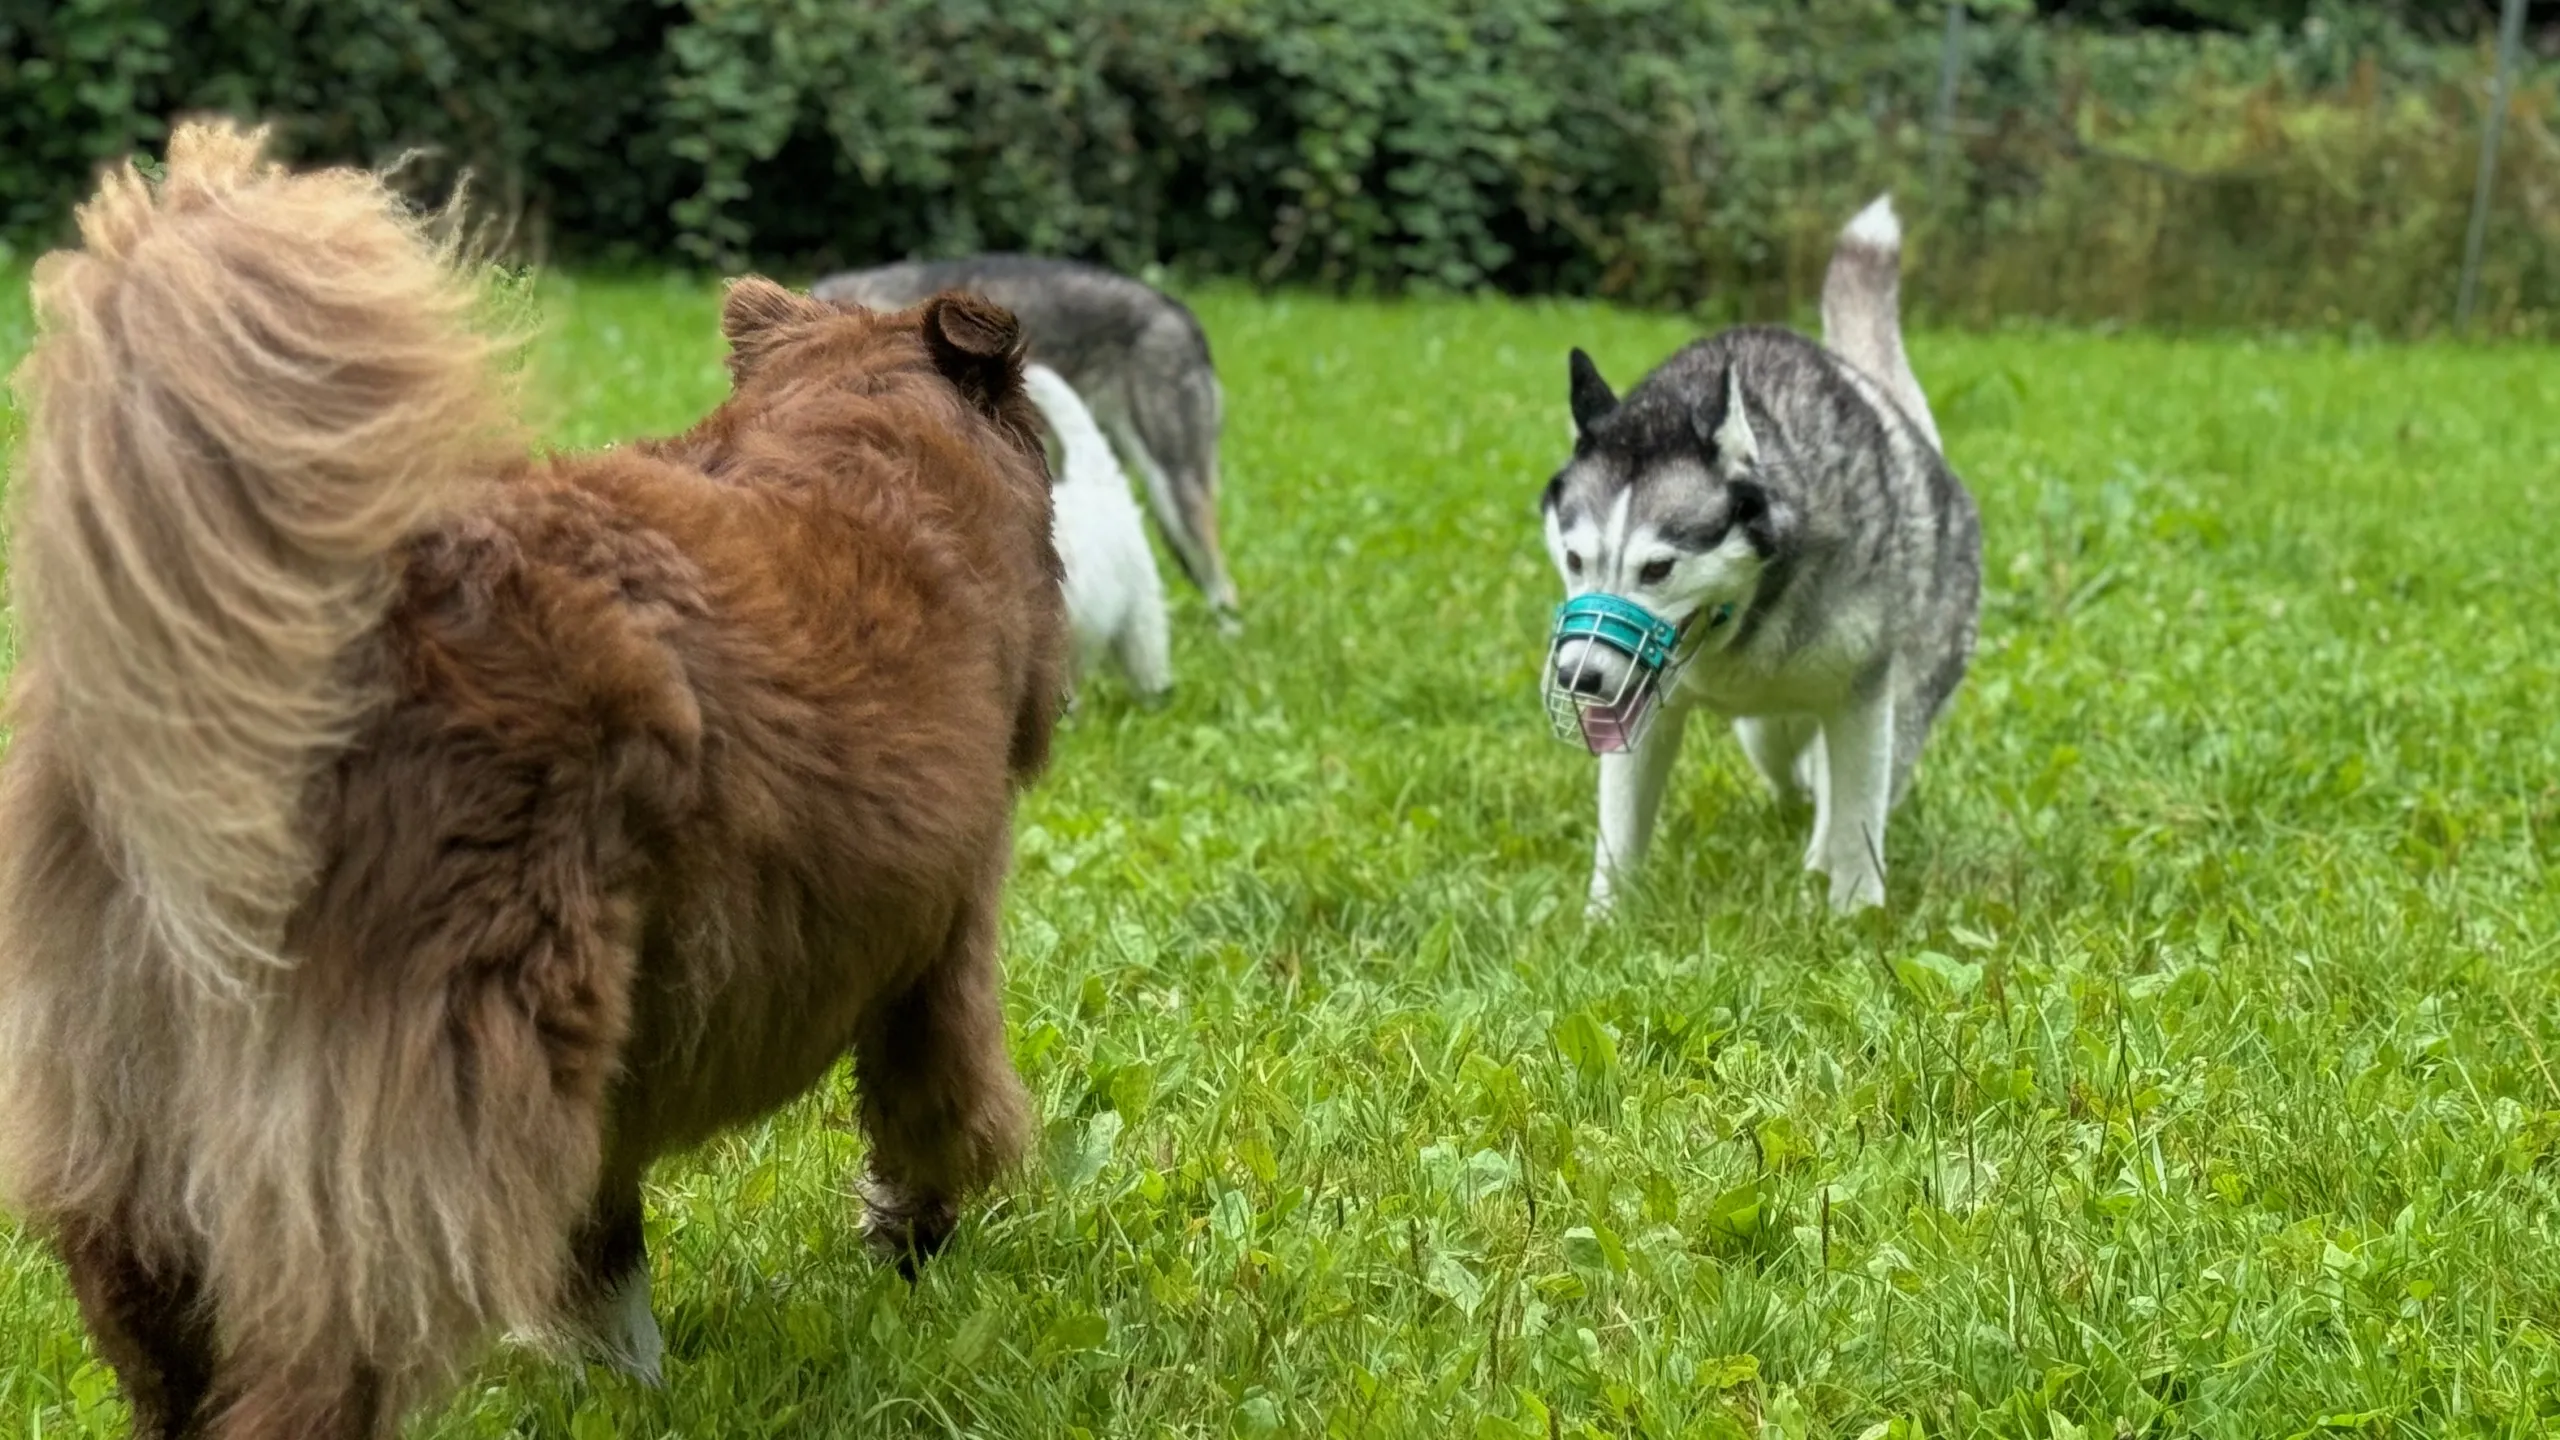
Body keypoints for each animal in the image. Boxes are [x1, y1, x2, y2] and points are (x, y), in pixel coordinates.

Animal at [0, 120, 1064, 1424]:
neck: (863, 446)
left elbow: (603, 1238)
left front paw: (624, 1381)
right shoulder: (943, 932)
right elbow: (941, 1114)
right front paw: (915, 1243)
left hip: (137, 1127)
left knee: (159, 1345)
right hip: (413, 1130)